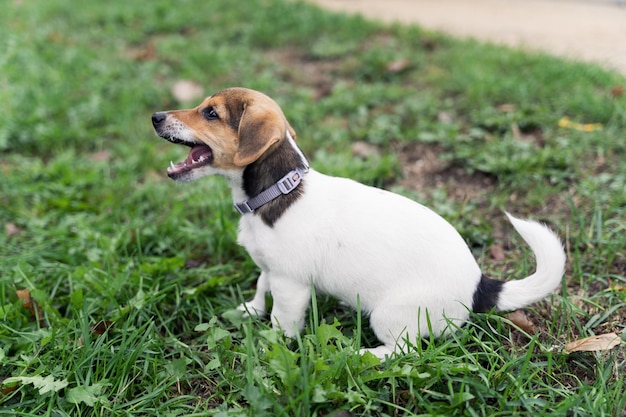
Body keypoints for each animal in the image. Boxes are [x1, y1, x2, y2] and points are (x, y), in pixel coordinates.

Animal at [152, 87, 564, 358]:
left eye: (211, 113)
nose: (155, 117)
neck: (275, 193)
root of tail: (480, 286)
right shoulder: (271, 268)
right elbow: (260, 285)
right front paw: (250, 310)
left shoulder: (291, 284)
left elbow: (282, 321)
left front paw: (272, 346)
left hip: (389, 315)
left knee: (404, 350)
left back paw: (365, 355)